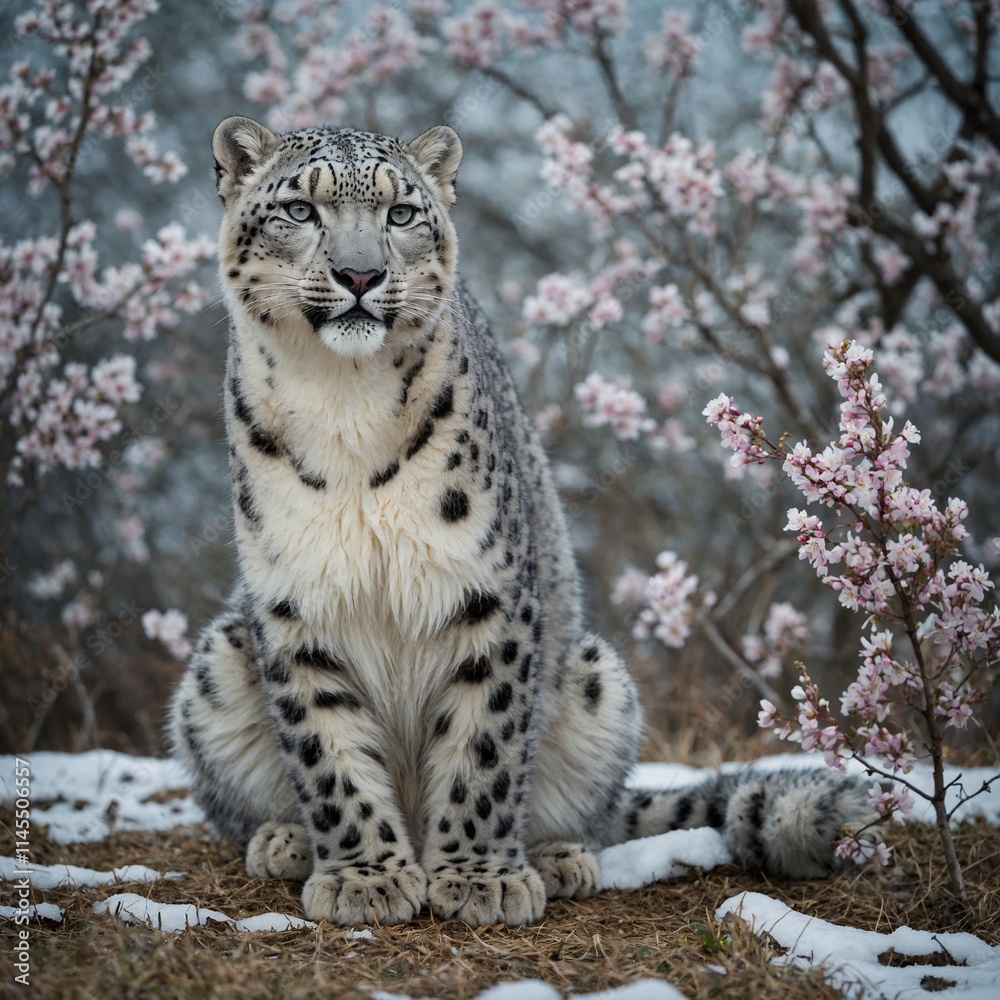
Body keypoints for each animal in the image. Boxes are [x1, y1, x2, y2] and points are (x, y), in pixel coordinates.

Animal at [167, 115, 876, 927]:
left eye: (400, 214)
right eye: (299, 210)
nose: (360, 275)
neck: (343, 403)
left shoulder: (486, 587)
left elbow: (487, 744)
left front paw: (479, 877)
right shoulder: (296, 602)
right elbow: (326, 750)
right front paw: (367, 877)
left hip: (601, 682)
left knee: (590, 814)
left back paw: (558, 858)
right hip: (216, 667)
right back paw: (282, 841)